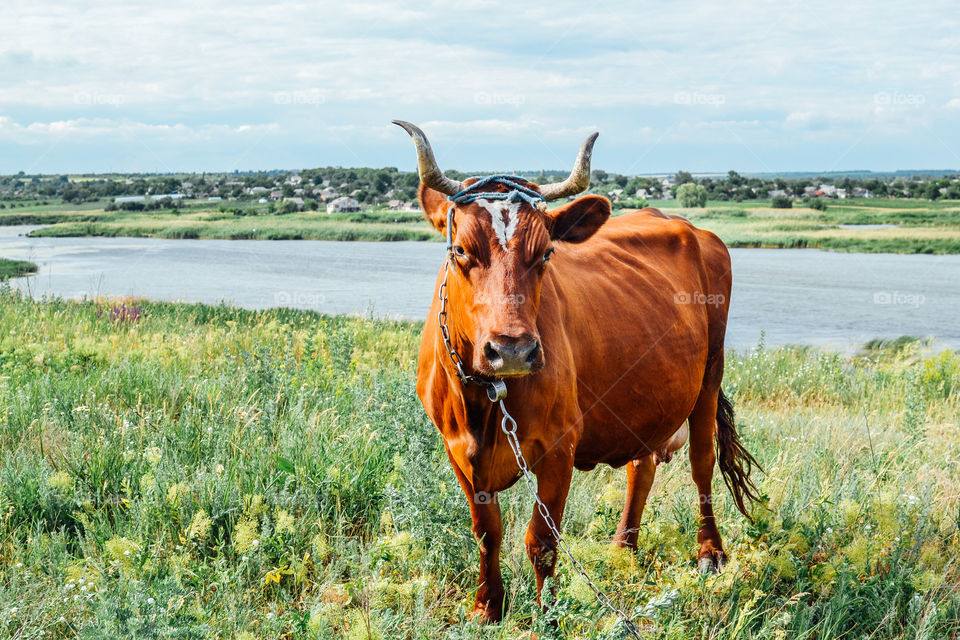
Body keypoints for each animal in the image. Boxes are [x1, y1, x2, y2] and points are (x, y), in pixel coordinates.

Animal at [393, 120, 760, 622]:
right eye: (461, 251)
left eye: (546, 253)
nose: (512, 350)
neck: (486, 403)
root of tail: (681, 222)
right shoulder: (458, 451)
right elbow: (487, 531)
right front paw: (488, 606)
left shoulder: (559, 446)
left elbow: (541, 540)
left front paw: (547, 614)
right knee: (641, 466)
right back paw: (623, 549)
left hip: (710, 374)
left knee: (702, 463)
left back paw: (710, 552)